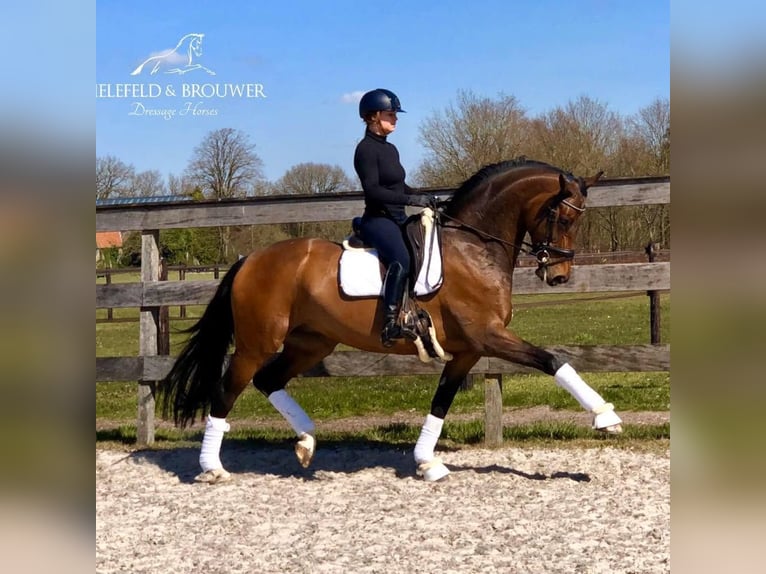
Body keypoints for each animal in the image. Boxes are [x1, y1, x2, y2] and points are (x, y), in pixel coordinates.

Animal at [159, 157, 622, 483]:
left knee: (268, 380)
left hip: (311, 341)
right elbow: (552, 360)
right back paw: (212, 467)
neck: (473, 247)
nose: (559, 276)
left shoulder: (467, 351)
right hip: (258, 342)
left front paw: (427, 463)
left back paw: (306, 441)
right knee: (228, 389)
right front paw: (606, 418)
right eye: (564, 216)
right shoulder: (489, 336)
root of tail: (248, 259)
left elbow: (441, 401)